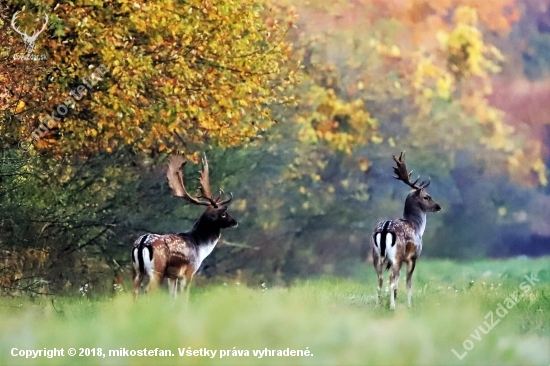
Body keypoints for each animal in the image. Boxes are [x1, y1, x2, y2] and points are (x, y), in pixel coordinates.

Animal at [134, 154, 239, 300]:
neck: (200, 246)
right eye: (223, 214)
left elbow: (172, 298)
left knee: (134, 292)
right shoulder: (189, 271)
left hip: (136, 270)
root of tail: (143, 242)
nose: (235, 222)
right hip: (157, 270)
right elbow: (184, 298)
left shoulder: (172, 276)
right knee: (148, 291)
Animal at [370, 152, 444, 308]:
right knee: (391, 279)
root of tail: (385, 228)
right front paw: (410, 305)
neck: (417, 226)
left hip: (376, 255)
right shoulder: (412, 256)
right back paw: (392, 307)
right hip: (396, 256)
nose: (438, 206)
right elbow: (408, 282)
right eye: (426, 197)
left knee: (380, 279)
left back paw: (378, 305)